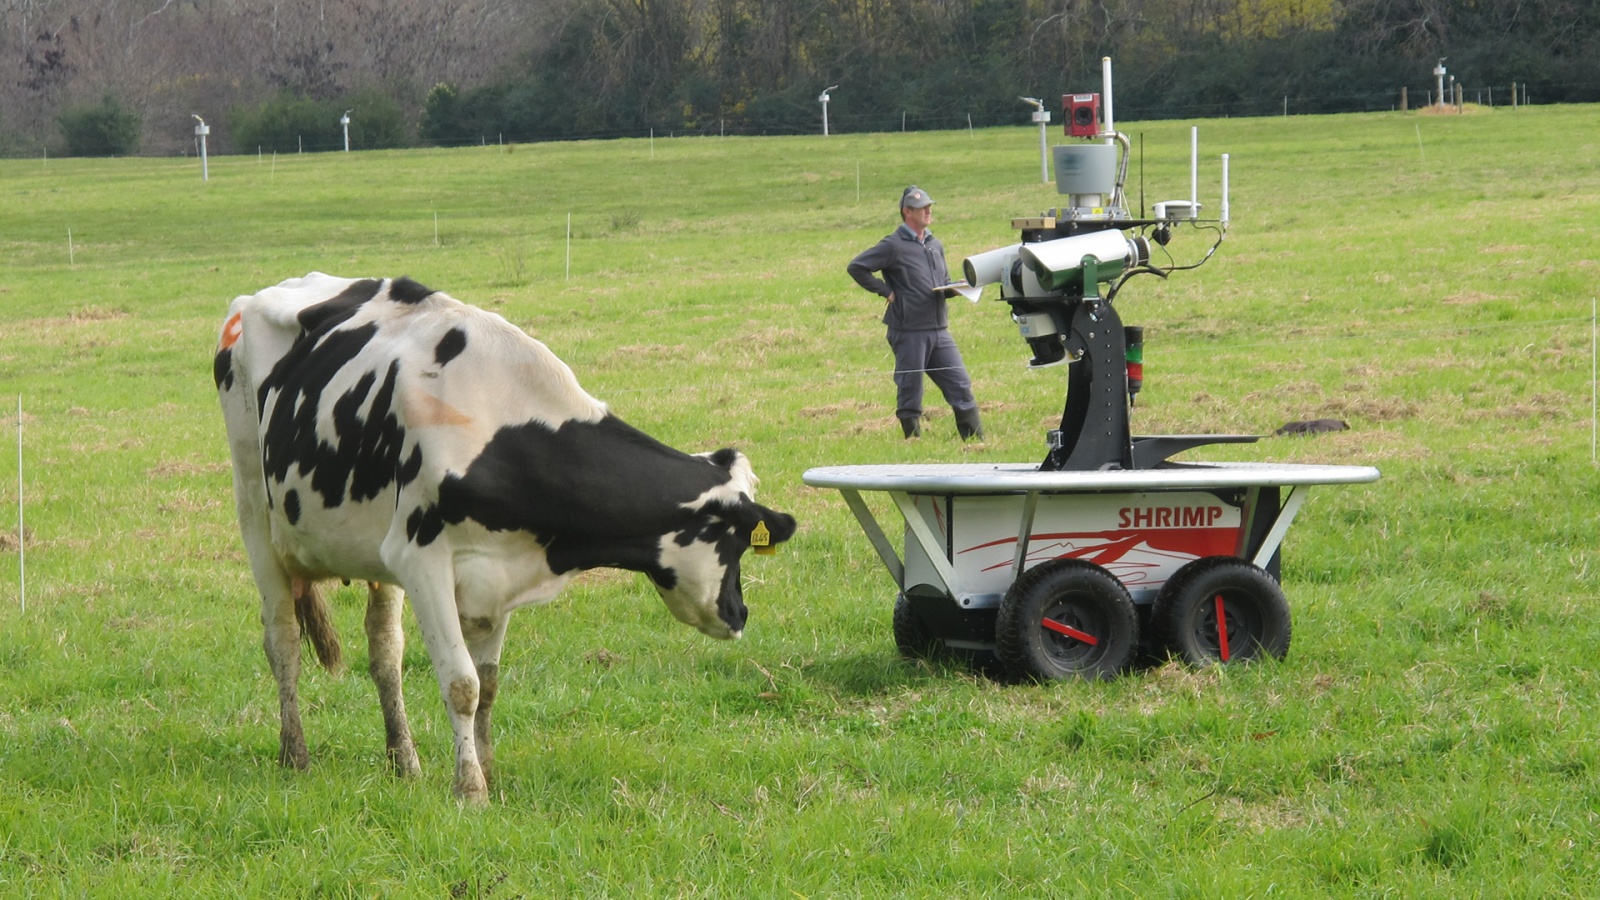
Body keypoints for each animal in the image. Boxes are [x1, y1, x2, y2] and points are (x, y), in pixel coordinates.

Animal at [219, 272, 793, 797]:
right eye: (740, 541)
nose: (740, 613)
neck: (495, 422)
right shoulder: (420, 559)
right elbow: (461, 684)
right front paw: (471, 790)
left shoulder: (499, 573)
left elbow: (489, 685)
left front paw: (489, 774)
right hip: (255, 512)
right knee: (283, 641)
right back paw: (295, 756)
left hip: (369, 554)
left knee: (385, 653)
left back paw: (403, 761)